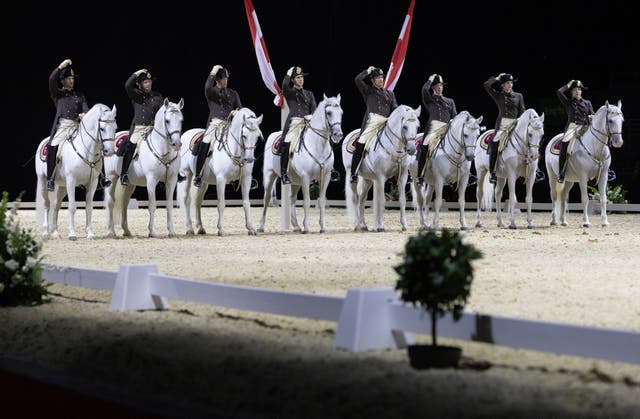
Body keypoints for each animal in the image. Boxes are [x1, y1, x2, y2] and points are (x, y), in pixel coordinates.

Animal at [34, 104, 117, 241]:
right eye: (102, 128)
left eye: (115, 128)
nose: (109, 152)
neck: (85, 150)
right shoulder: (71, 181)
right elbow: (72, 207)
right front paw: (72, 234)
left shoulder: (92, 183)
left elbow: (89, 208)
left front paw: (90, 233)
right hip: (43, 181)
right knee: (47, 204)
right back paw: (46, 232)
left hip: (62, 186)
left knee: (56, 205)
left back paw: (55, 232)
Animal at [105, 97, 184, 238]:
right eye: (167, 121)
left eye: (181, 120)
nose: (177, 144)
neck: (163, 150)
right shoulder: (151, 180)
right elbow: (152, 205)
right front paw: (152, 231)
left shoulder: (172, 180)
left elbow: (169, 205)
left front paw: (171, 231)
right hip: (112, 177)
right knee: (110, 202)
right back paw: (111, 232)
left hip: (130, 184)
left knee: (124, 203)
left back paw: (127, 231)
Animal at [178, 106, 262, 236]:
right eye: (244, 136)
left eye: (257, 137)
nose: (249, 159)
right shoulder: (221, 179)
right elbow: (221, 203)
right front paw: (221, 229)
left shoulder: (246, 178)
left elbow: (246, 203)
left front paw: (250, 228)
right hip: (187, 174)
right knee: (186, 199)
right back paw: (189, 229)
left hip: (203, 182)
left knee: (197, 201)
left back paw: (200, 227)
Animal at [258, 93, 342, 235]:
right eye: (329, 113)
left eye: (341, 113)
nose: (338, 135)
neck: (317, 145)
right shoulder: (305, 177)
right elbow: (307, 201)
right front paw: (306, 227)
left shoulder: (325, 177)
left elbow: (322, 200)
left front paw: (323, 227)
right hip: (270, 175)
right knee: (266, 197)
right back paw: (260, 226)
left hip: (295, 180)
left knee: (292, 198)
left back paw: (296, 226)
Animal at [342, 103, 422, 231]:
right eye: (404, 126)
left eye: (417, 127)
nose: (412, 149)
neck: (394, 148)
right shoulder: (381, 177)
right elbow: (381, 200)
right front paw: (380, 226)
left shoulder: (402, 176)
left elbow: (402, 200)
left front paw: (404, 225)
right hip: (351, 174)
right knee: (355, 198)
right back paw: (357, 225)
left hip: (368, 179)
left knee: (362, 199)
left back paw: (363, 225)